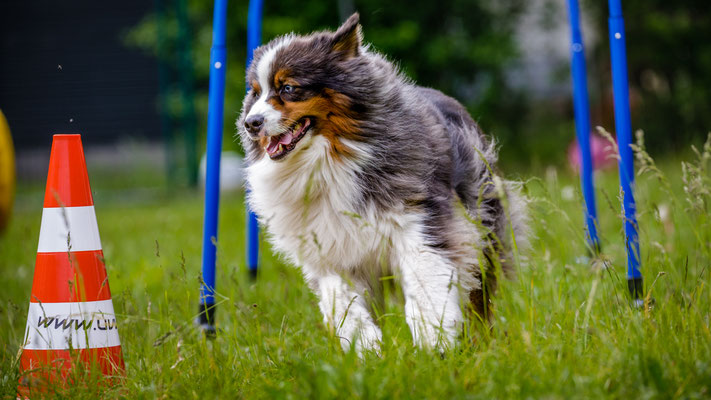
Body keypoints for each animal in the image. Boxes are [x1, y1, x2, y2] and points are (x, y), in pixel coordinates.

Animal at [239, 12, 528, 354]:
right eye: (255, 93)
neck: (330, 160)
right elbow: (343, 302)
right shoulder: (329, 246)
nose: (251, 124)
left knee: (479, 294)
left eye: (288, 88)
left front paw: (434, 341)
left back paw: (481, 343)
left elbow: (426, 278)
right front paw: (366, 348)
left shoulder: (418, 218)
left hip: (485, 227)